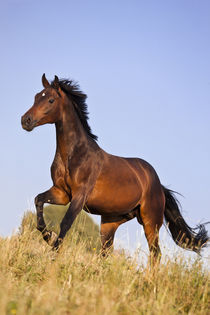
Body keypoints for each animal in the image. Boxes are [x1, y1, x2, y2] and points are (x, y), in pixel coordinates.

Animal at [21, 74, 208, 264]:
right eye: (36, 97)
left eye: (50, 100)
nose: (25, 120)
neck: (74, 154)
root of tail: (158, 185)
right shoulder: (61, 193)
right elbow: (38, 200)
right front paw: (48, 236)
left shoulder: (79, 196)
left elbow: (65, 222)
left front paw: (53, 252)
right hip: (110, 222)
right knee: (106, 251)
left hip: (150, 221)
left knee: (155, 253)